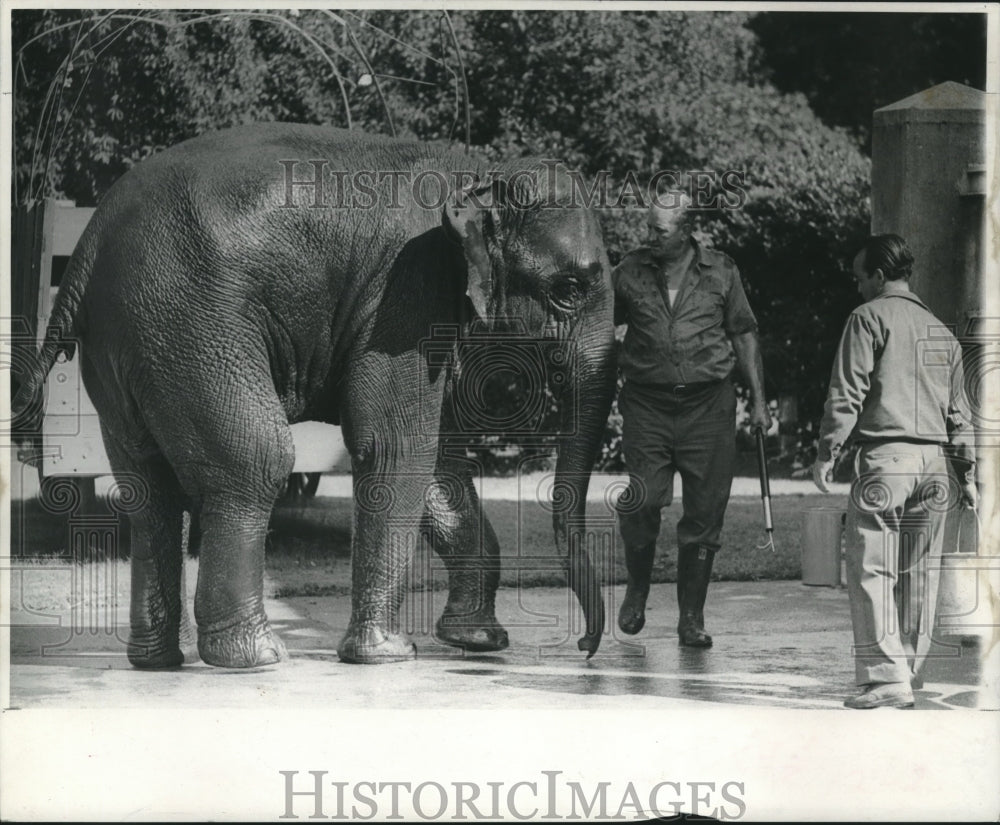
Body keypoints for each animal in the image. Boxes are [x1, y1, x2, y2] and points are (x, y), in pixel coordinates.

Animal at [14, 123, 617, 668]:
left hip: (128, 342)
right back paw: (256, 657)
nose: (585, 650)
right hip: (189, 323)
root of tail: (88, 246)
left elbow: (439, 462)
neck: (476, 172)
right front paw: (388, 654)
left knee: (150, 487)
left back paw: (158, 662)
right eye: (568, 289)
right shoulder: (404, 296)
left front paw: (477, 642)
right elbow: (396, 447)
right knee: (255, 460)